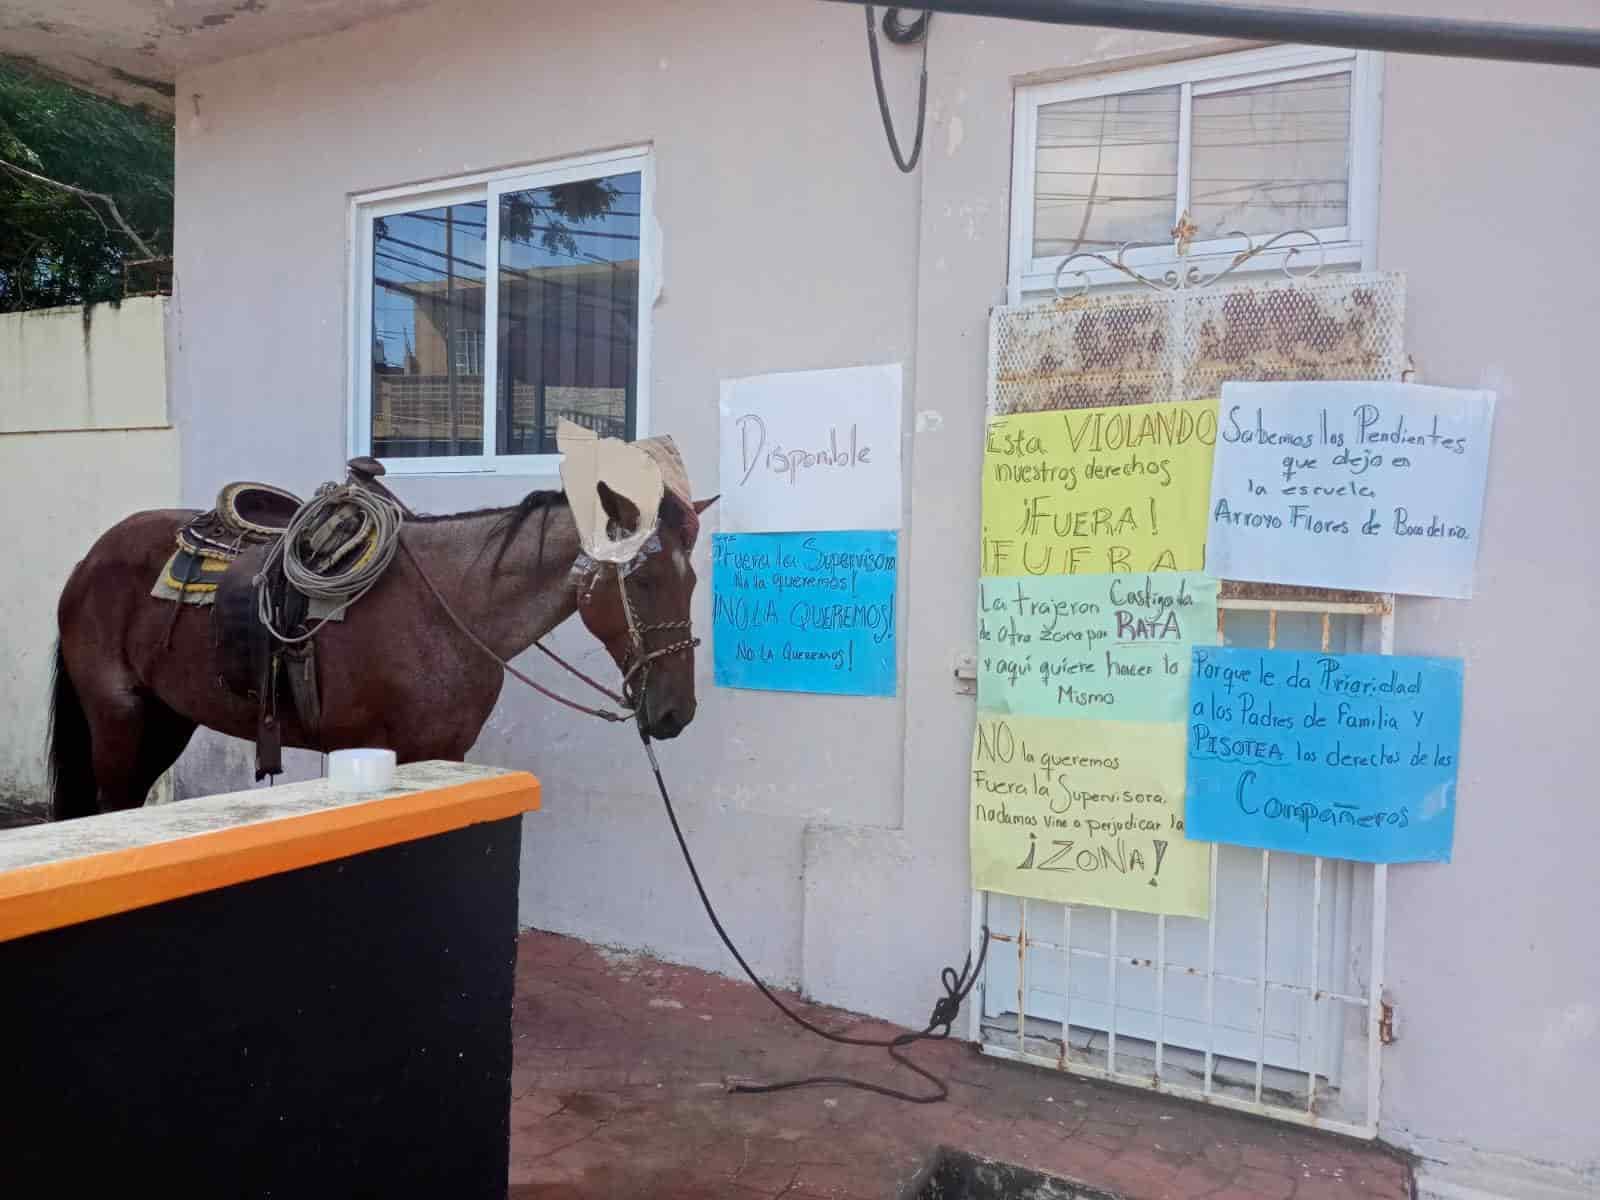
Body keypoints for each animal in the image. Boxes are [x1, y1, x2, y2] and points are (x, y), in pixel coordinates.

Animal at [50, 483, 713, 825]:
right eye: (644, 579)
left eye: (692, 582)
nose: (675, 713)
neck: (451, 602)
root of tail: (89, 560)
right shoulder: (415, 750)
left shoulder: (449, 751)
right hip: (117, 715)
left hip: (166, 718)